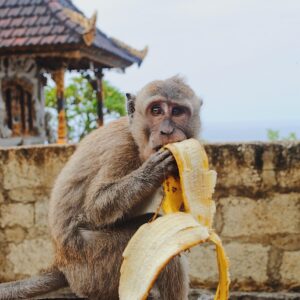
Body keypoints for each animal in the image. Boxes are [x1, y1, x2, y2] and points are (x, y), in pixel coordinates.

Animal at [0, 76, 203, 298]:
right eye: (156, 110)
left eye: (177, 111)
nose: (166, 130)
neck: (137, 139)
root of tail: (62, 264)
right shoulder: (121, 148)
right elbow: (97, 206)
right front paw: (154, 170)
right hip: (94, 267)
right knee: (159, 238)